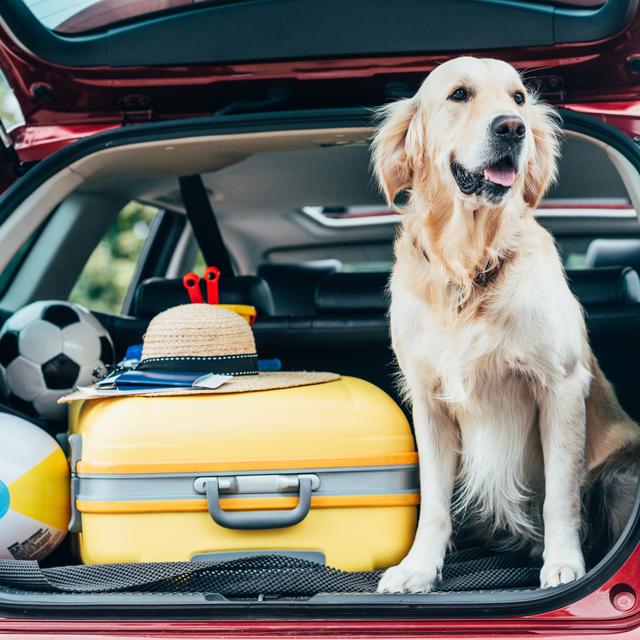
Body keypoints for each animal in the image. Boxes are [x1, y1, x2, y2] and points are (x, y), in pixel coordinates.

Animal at [372, 57, 640, 592]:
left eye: (518, 97)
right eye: (459, 94)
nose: (512, 128)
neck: (469, 266)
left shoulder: (559, 386)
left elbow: (560, 493)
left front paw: (564, 563)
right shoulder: (429, 400)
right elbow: (433, 502)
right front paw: (418, 568)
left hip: (622, 470)